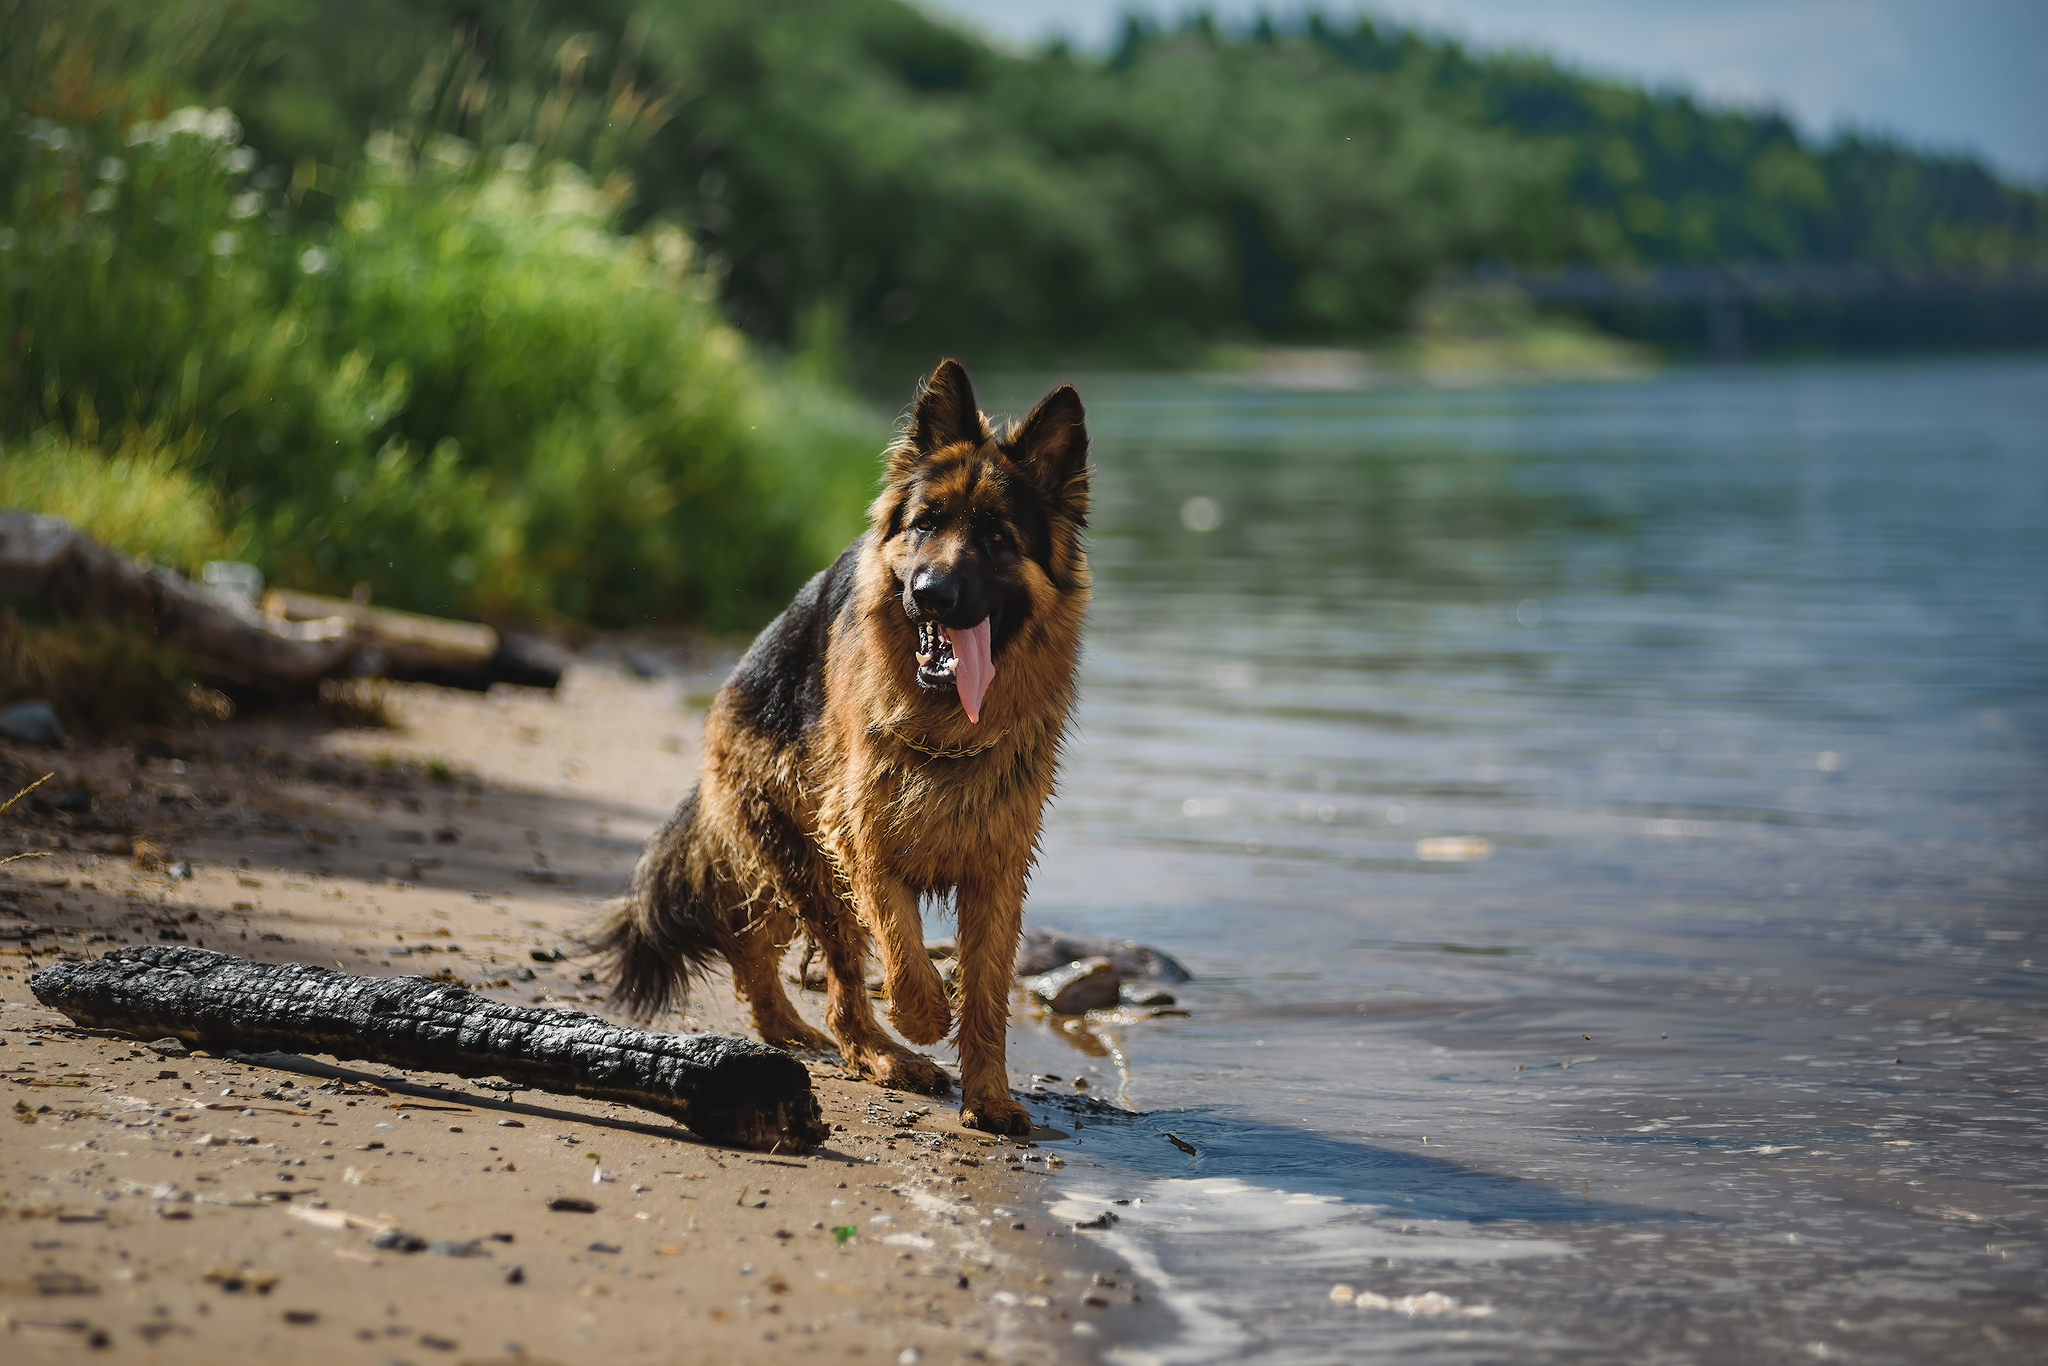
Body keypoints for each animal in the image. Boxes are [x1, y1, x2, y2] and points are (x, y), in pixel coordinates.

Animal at [598, 360, 1089, 1130]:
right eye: (926, 524)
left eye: (998, 538)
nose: (932, 594)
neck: (947, 727)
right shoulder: (860, 837)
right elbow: (902, 944)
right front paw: (922, 1016)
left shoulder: (998, 866)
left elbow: (986, 991)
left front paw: (988, 1096)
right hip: (812, 865)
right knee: (838, 984)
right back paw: (885, 1055)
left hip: (791, 868)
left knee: (750, 943)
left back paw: (789, 1028)